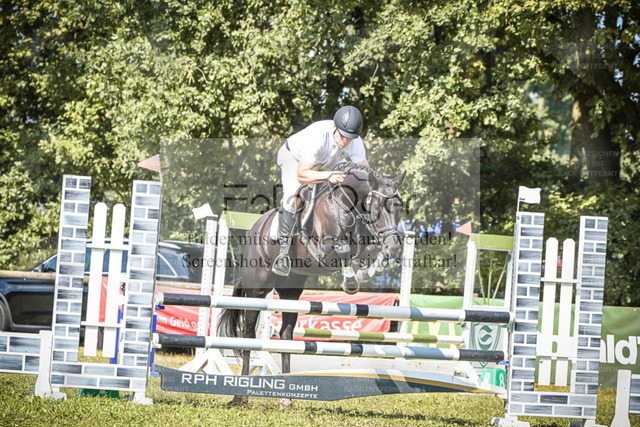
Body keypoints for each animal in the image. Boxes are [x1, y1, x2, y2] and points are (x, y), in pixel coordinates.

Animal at [218, 162, 406, 407]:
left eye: (399, 207)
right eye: (376, 207)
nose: (394, 246)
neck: (345, 205)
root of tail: (254, 231)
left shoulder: (366, 244)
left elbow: (372, 250)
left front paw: (369, 271)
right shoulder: (324, 250)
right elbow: (344, 250)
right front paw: (351, 281)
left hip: (290, 292)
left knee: (286, 336)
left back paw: (285, 397)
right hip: (257, 290)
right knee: (248, 335)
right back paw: (240, 395)